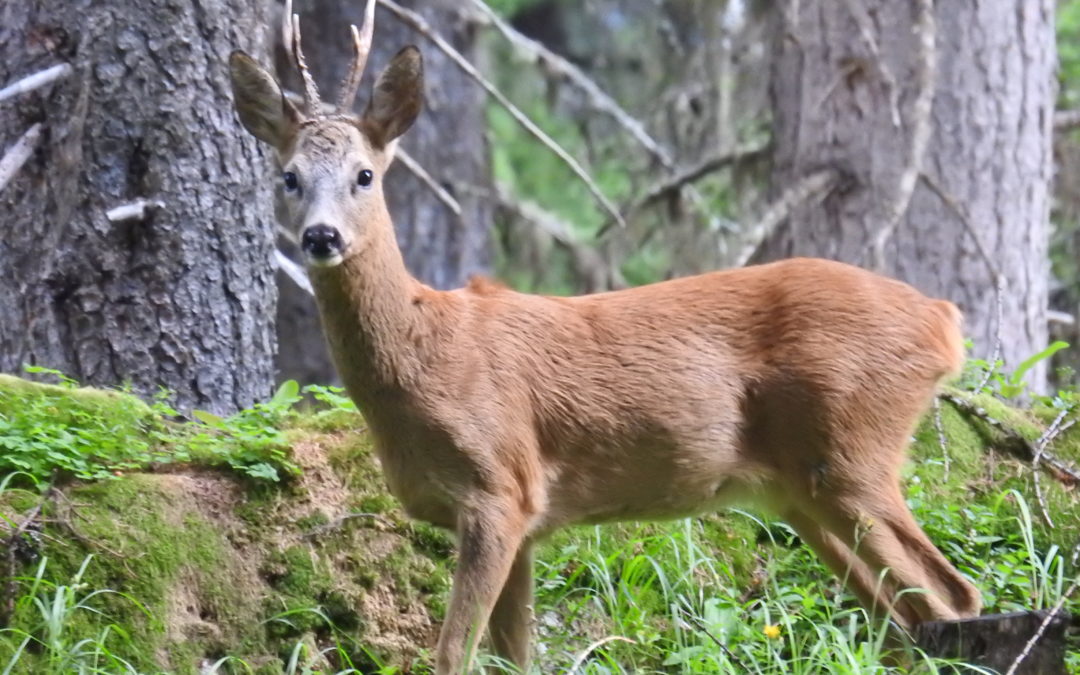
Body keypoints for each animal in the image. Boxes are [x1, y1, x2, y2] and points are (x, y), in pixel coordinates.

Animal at [225, 3, 980, 669]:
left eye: (365, 175)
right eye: (288, 177)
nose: (321, 238)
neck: (421, 356)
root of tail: (943, 320)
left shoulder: (500, 486)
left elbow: (451, 654)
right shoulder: (524, 522)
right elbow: (514, 656)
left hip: (854, 446)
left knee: (954, 596)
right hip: (800, 491)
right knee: (905, 617)